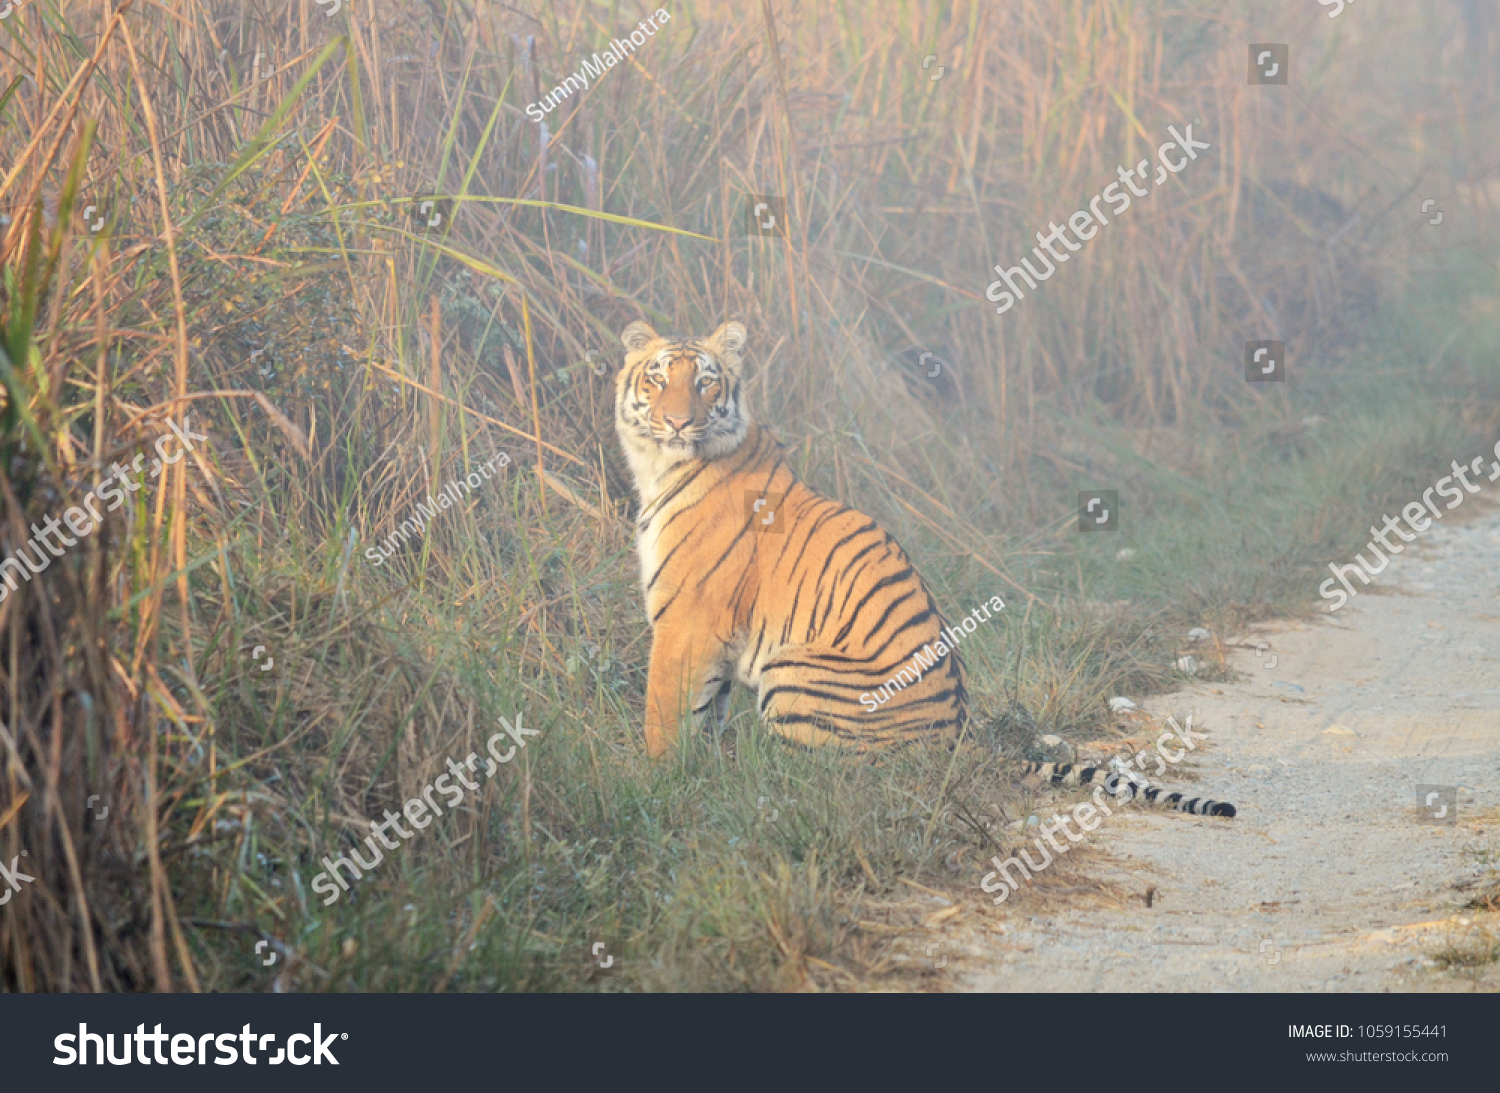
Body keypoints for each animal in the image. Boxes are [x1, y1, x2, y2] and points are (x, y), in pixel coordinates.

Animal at [615, 319, 966, 755]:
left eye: (705, 382)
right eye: (658, 379)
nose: (678, 422)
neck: (658, 469)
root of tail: (957, 737)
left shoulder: (686, 620)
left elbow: (663, 713)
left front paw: (659, 769)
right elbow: (707, 713)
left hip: (789, 668)